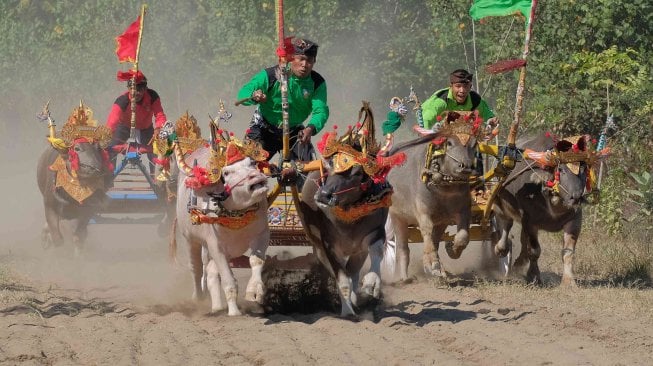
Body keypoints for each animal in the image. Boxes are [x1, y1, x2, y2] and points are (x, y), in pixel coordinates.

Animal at [36, 104, 112, 256]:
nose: (95, 168)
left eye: (98, 149)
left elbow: (79, 235)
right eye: (77, 148)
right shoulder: (50, 205)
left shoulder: (89, 210)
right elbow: (57, 237)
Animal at [173, 133, 270, 316]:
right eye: (226, 172)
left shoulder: (262, 235)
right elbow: (229, 281)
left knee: (210, 272)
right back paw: (198, 298)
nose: (256, 177)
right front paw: (234, 312)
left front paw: (255, 291)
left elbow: (256, 261)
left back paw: (217, 306)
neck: (236, 217)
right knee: (196, 269)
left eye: (252, 163)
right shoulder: (215, 245)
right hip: (191, 240)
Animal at [384, 111, 482, 280]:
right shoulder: (423, 212)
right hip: (397, 216)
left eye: (474, 143)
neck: (444, 188)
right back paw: (404, 277)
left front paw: (452, 249)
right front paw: (432, 265)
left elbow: (463, 236)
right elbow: (427, 233)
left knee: (435, 240)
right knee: (403, 248)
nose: (465, 167)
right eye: (449, 143)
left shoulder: (459, 213)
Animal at [492, 133, 600, 284]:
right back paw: (501, 250)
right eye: (561, 170)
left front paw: (569, 281)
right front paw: (534, 276)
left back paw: (518, 263)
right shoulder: (530, 222)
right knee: (505, 227)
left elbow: (568, 252)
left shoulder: (575, 221)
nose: (576, 197)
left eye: (583, 169)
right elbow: (534, 250)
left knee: (522, 240)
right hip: (500, 206)